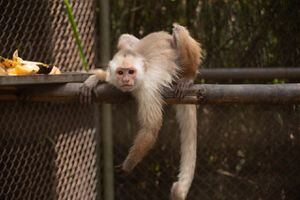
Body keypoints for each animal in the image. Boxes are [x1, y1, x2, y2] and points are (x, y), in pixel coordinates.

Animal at [79, 23, 202, 200]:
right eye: (121, 72)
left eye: (130, 72)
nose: (126, 80)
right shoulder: (114, 77)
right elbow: (106, 74)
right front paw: (93, 79)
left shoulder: (146, 88)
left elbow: (150, 128)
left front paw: (128, 165)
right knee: (124, 38)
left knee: (178, 30)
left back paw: (188, 78)